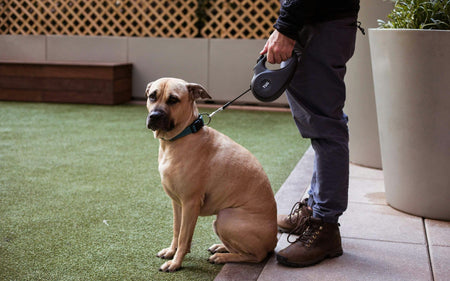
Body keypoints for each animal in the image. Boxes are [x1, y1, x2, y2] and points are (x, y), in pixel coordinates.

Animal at [146, 77, 276, 272]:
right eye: (152, 96)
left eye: (173, 100)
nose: (154, 116)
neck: (182, 136)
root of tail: (274, 240)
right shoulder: (177, 203)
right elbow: (177, 231)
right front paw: (171, 251)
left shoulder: (190, 203)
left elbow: (184, 237)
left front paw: (176, 262)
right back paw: (221, 247)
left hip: (225, 218)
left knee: (256, 256)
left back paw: (222, 257)